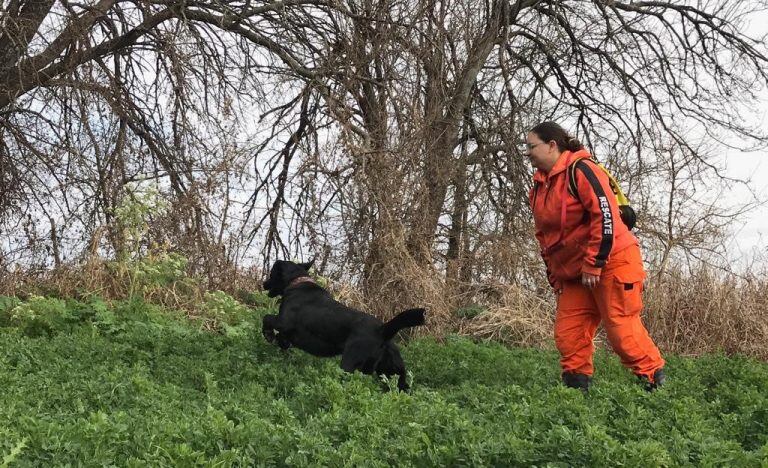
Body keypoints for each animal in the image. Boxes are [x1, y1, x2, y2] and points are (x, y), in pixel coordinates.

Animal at [260, 260, 424, 392]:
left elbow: (266, 318)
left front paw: (268, 335)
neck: (297, 282)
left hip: (350, 363)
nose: (263, 284)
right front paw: (282, 343)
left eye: (271, 273)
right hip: (391, 370)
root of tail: (382, 330)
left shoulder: (283, 322)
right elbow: (282, 338)